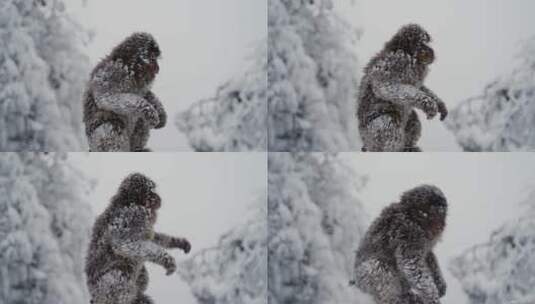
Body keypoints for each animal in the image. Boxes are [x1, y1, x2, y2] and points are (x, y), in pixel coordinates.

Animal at [85, 173, 192, 304]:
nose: (158, 197)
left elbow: (152, 238)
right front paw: (167, 260)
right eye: (151, 191)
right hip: (103, 288)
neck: (129, 202)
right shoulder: (134, 215)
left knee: (141, 274)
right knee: (120, 274)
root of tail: (93, 295)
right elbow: (123, 245)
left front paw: (179, 242)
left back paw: (140, 296)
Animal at [358, 24, 450, 152]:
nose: (431, 51)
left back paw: (408, 147)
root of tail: (365, 143)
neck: (411, 56)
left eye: (426, 42)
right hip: (369, 134)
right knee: (389, 121)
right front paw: (428, 103)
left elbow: (419, 86)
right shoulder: (396, 62)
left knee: (413, 120)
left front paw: (439, 103)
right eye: (422, 44)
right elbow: (385, 87)